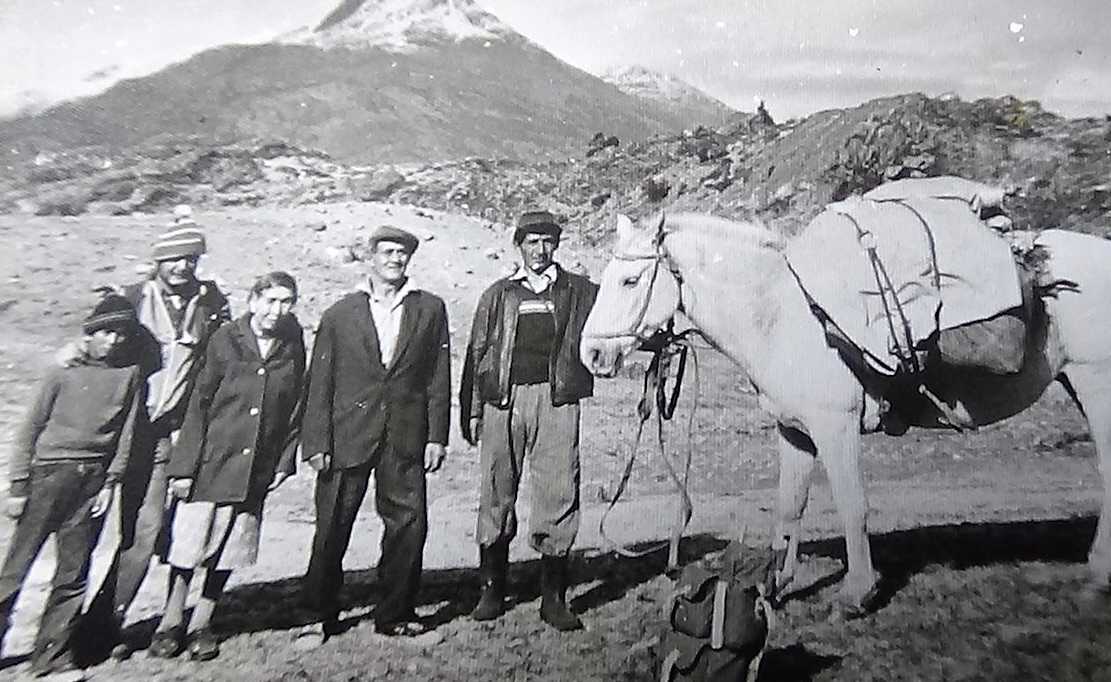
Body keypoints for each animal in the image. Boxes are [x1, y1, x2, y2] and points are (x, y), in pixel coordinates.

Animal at [577, 212, 1111, 613]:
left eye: (630, 279)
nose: (593, 356)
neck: (780, 317)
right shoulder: (794, 432)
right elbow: (790, 506)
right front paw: (778, 584)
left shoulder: (836, 428)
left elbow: (853, 505)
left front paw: (858, 592)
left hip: (1095, 383)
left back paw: (1098, 572)